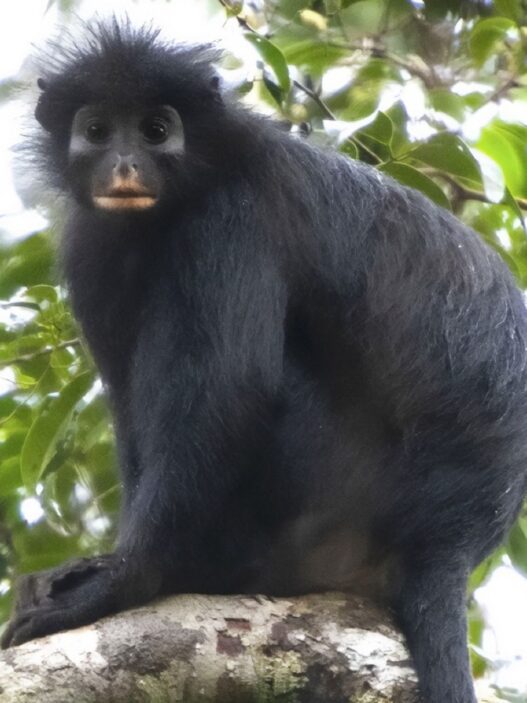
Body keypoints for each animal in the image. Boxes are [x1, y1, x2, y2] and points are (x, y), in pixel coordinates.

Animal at [2, 20, 527, 703]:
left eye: (155, 130)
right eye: (96, 130)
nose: (124, 164)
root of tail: (453, 539)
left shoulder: (229, 215)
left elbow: (230, 392)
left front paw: (124, 582)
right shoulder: (94, 246)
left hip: (326, 493)